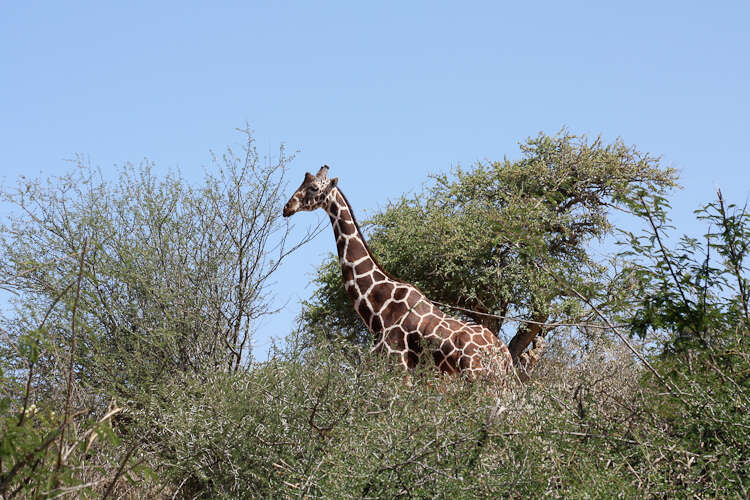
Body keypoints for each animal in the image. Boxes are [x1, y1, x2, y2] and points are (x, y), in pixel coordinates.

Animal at [284, 165, 544, 378]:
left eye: (313, 187)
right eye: (302, 183)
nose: (287, 207)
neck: (378, 306)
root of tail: (505, 359)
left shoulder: (397, 363)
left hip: (480, 379)